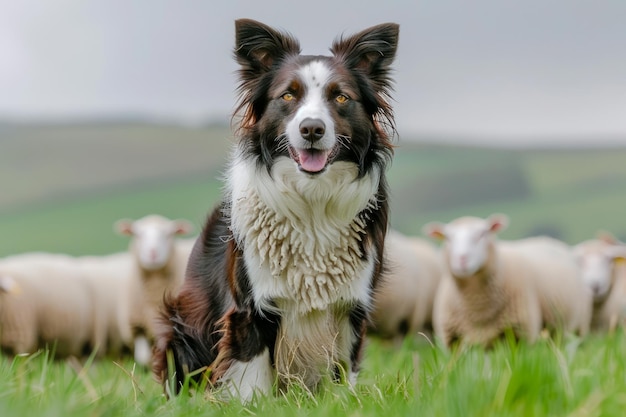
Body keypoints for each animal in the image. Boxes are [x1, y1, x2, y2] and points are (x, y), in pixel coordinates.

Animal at [153, 18, 398, 400]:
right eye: (288, 96)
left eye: (341, 97)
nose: (311, 129)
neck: (312, 200)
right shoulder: (251, 308)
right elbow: (249, 379)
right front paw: (249, 404)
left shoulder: (350, 307)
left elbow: (343, 371)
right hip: (179, 326)